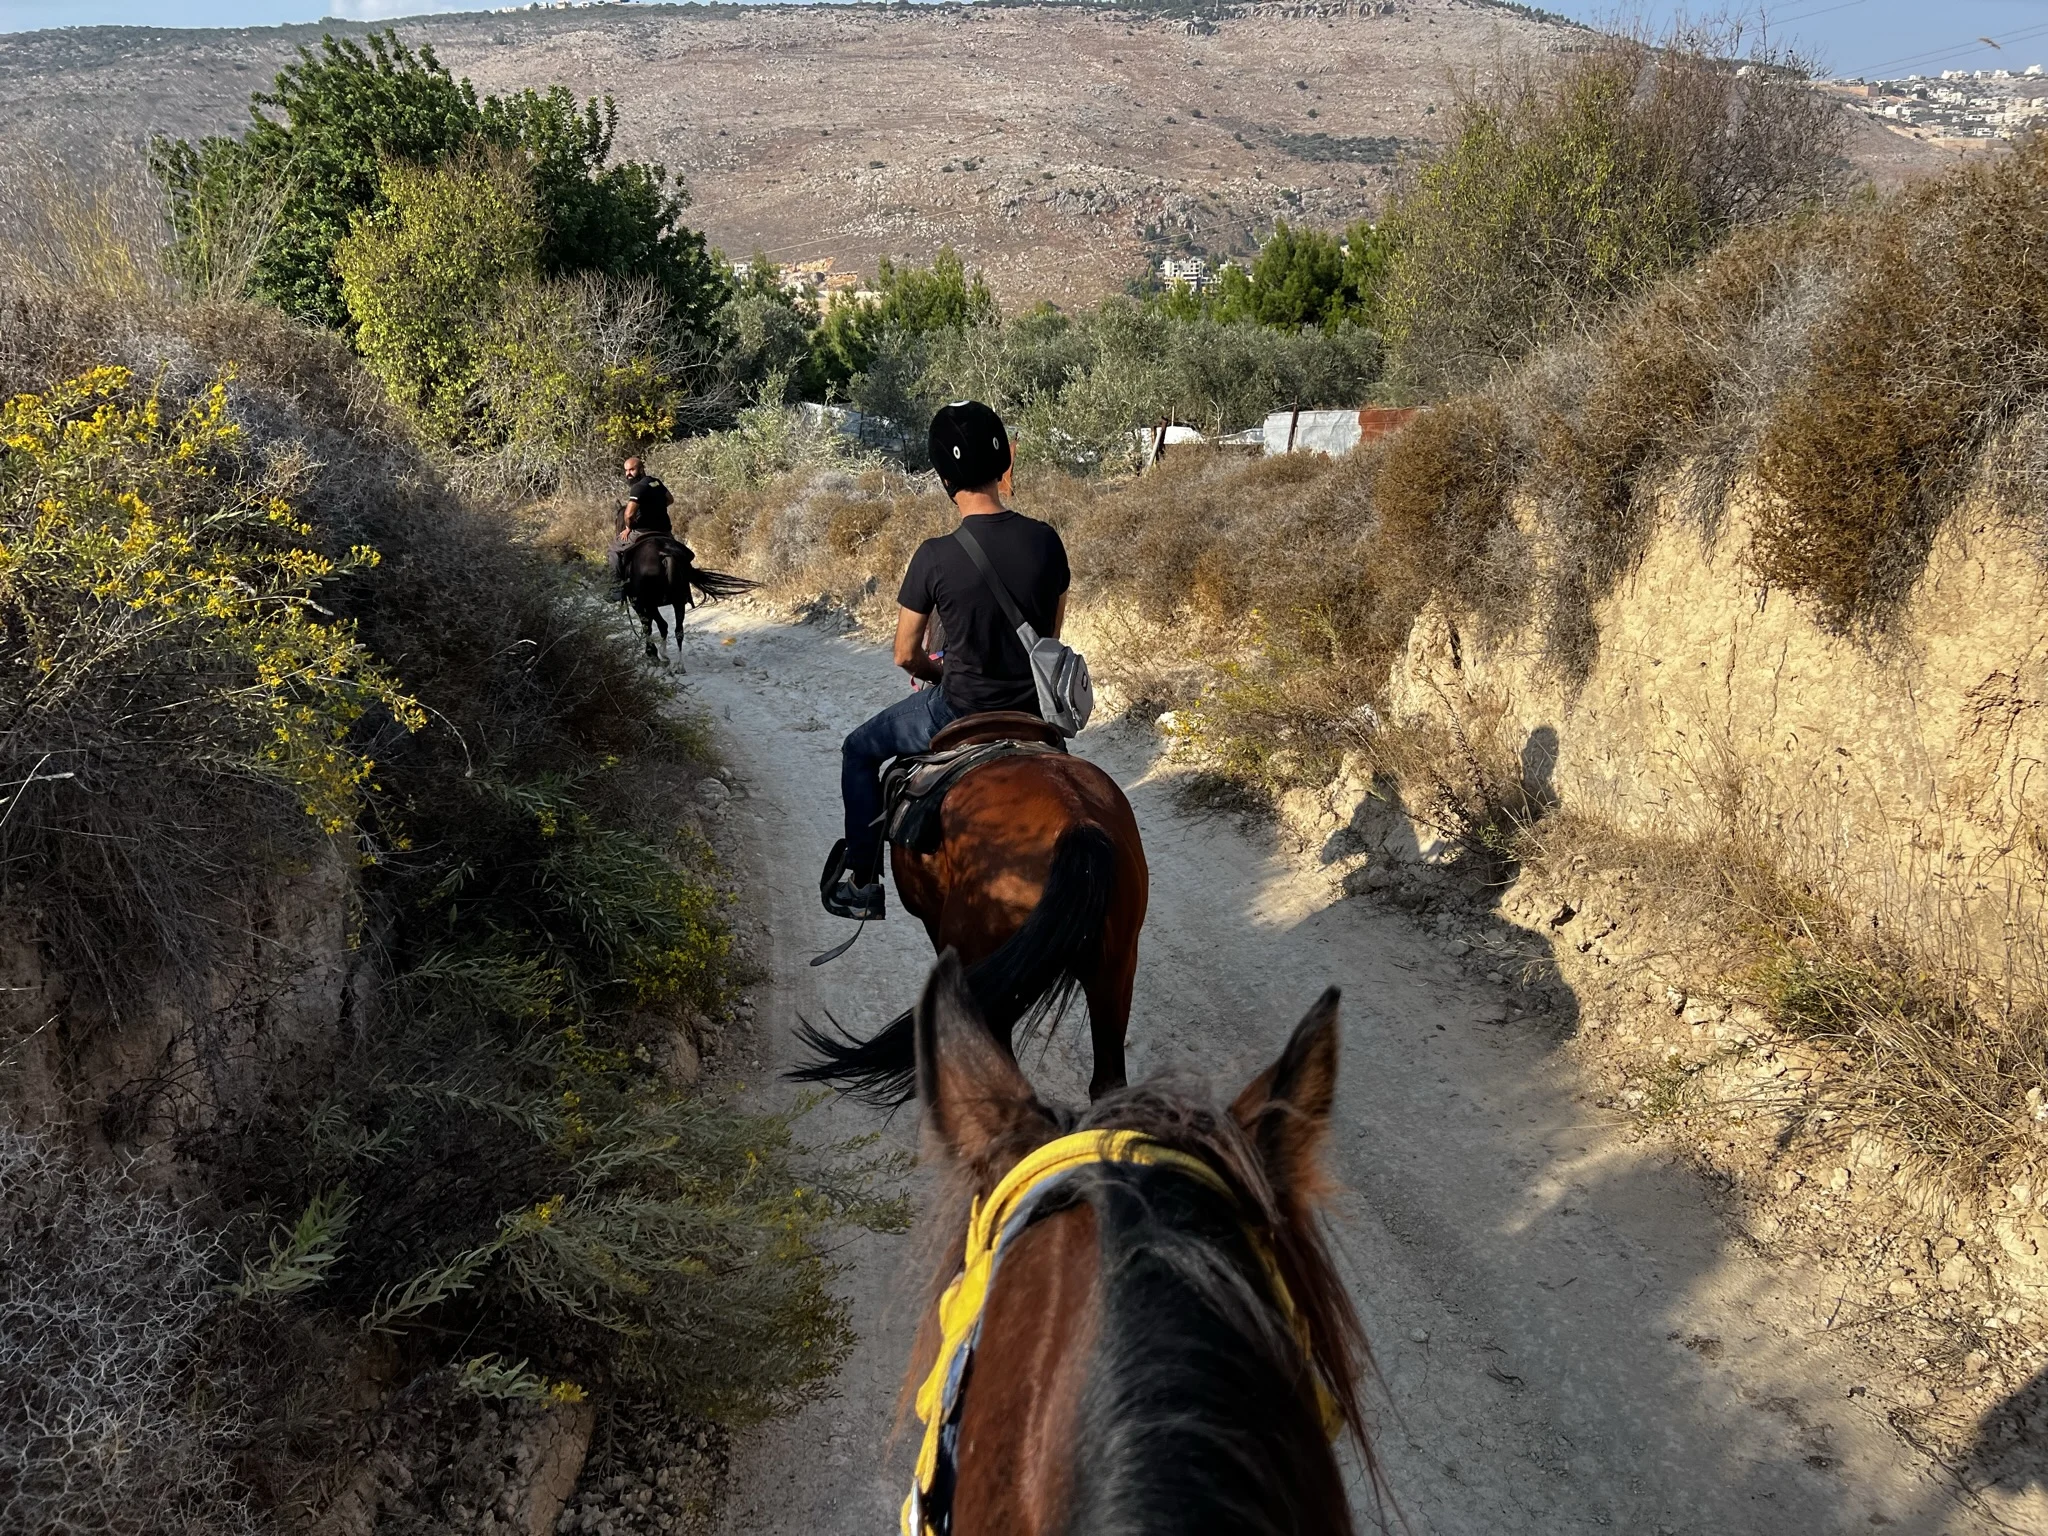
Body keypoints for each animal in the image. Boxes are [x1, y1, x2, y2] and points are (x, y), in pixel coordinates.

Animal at [622, 536, 761, 663]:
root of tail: (664, 554)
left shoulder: (638, 604)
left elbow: (647, 626)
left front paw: (651, 653)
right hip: (677, 601)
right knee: (678, 630)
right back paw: (677, 664)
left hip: (650, 603)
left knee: (663, 625)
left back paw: (664, 656)